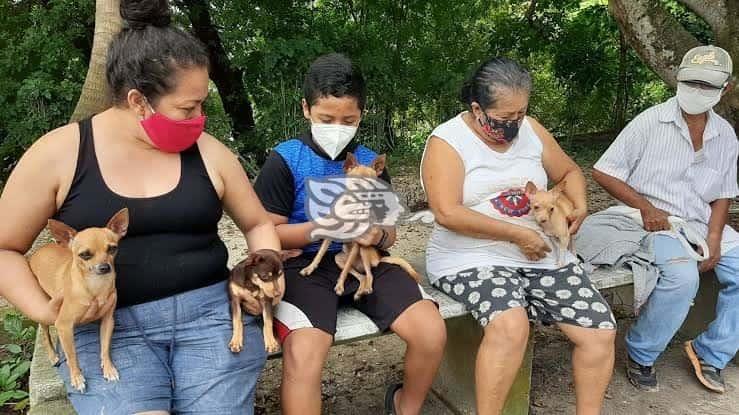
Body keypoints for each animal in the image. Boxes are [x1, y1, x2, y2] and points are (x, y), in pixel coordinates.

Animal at [29, 210, 129, 392]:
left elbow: (105, 347)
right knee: (45, 333)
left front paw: (108, 368)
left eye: (112, 249)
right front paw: (76, 377)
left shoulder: (107, 320)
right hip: (44, 310)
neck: (96, 285)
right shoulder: (64, 326)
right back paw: (52, 355)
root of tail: (39, 250)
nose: (105, 267)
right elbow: (72, 355)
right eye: (84, 255)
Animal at [298, 153, 420, 300]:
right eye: (355, 182)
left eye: (372, 184)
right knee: (362, 277)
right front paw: (309, 268)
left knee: (369, 275)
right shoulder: (330, 232)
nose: (364, 195)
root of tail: (379, 258)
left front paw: (340, 286)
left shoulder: (358, 240)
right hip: (339, 258)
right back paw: (359, 292)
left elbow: (345, 270)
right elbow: (320, 253)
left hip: (363, 250)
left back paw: (365, 289)